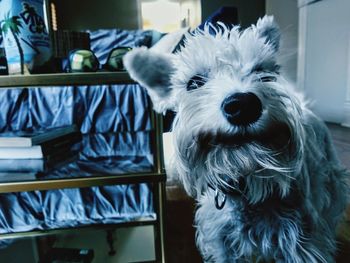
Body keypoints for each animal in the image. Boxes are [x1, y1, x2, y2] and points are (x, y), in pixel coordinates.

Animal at [123, 16, 348, 263]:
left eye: (262, 72)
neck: (247, 188)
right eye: (194, 82)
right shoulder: (222, 244)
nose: (243, 105)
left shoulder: (302, 244)